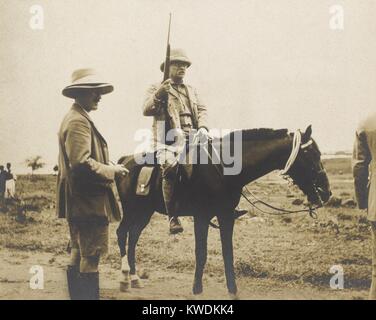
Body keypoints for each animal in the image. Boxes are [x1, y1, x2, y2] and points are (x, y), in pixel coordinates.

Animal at [116, 126, 330, 298]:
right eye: (311, 154)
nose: (326, 192)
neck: (224, 170)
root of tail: (124, 161)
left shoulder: (226, 216)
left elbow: (228, 253)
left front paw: (232, 290)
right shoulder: (201, 217)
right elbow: (201, 253)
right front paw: (197, 289)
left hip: (144, 213)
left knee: (132, 237)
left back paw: (135, 278)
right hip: (131, 210)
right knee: (122, 233)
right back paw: (125, 278)